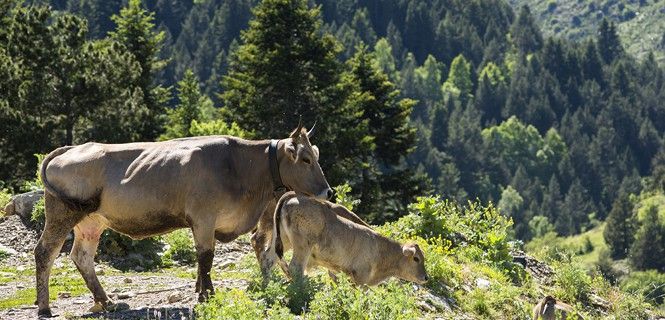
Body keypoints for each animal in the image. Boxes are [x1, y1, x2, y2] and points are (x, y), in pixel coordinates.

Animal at [35, 124, 330, 316]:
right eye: (305, 159)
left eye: (316, 155)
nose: (328, 191)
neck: (240, 167)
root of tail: (71, 148)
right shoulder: (203, 218)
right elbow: (206, 258)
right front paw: (207, 295)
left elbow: (203, 261)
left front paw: (200, 289)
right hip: (62, 213)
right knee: (45, 252)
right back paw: (45, 307)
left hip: (91, 221)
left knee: (82, 256)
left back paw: (106, 302)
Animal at [262, 191, 428, 286]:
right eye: (416, 259)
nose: (426, 277)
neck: (380, 249)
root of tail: (295, 196)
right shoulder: (360, 277)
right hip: (303, 246)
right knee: (296, 268)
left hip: (282, 238)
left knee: (268, 259)